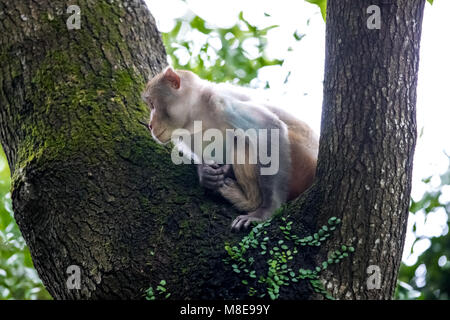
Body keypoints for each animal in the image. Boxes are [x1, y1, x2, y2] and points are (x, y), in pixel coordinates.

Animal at [142, 67, 318, 231]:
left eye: (152, 104)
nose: (150, 125)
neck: (195, 115)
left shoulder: (220, 102)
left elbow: (269, 128)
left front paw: (267, 211)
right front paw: (205, 174)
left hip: (301, 163)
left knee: (241, 140)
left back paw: (247, 200)